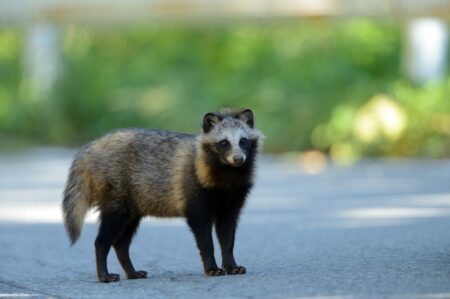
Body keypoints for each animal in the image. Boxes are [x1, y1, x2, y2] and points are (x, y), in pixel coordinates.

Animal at [61, 108, 262, 284]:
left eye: (243, 141)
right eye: (224, 143)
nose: (238, 159)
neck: (228, 173)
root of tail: (91, 147)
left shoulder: (233, 198)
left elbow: (227, 235)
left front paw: (231, 264)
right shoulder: (195, 189)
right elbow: (204, 236)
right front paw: (211, 267)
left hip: (134, 204)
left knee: (122, 242)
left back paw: (131, 271)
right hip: (115, 191)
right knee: (105, 237)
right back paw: (104, 272)